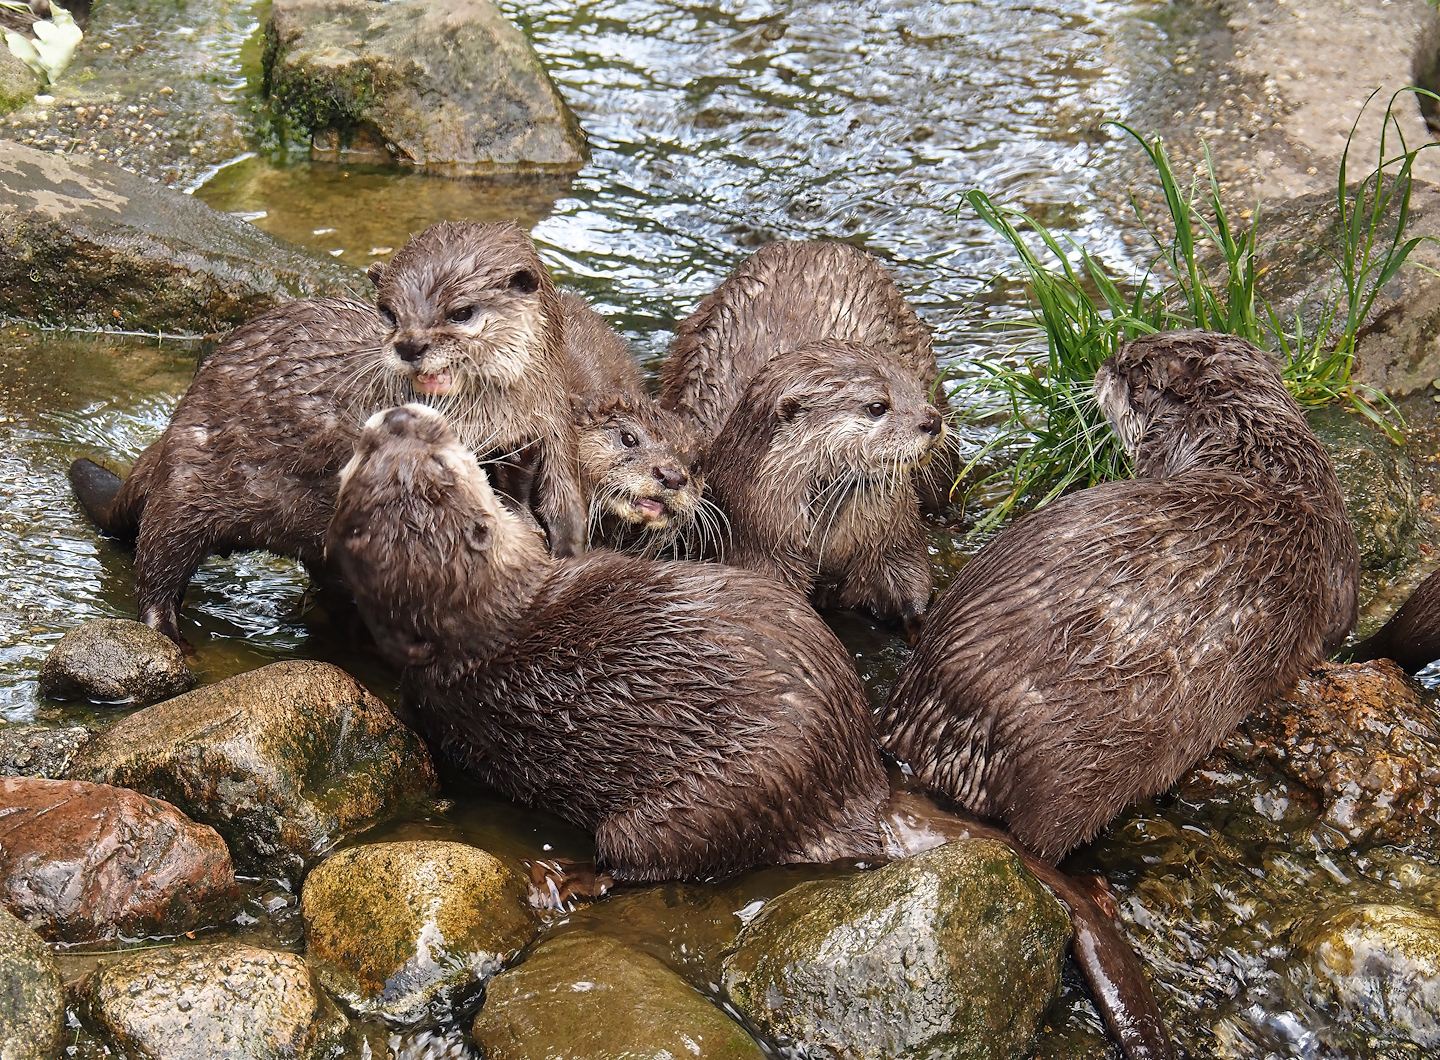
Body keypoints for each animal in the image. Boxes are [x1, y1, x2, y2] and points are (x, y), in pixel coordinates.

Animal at [67, 222, 585, 644]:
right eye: (389, 312)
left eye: (462, 312)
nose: (410, 345)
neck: (493, 422)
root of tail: (176, 419)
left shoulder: (558, 439)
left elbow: (563, 519)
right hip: (186, 484)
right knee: (159, 560)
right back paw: (168, 632)